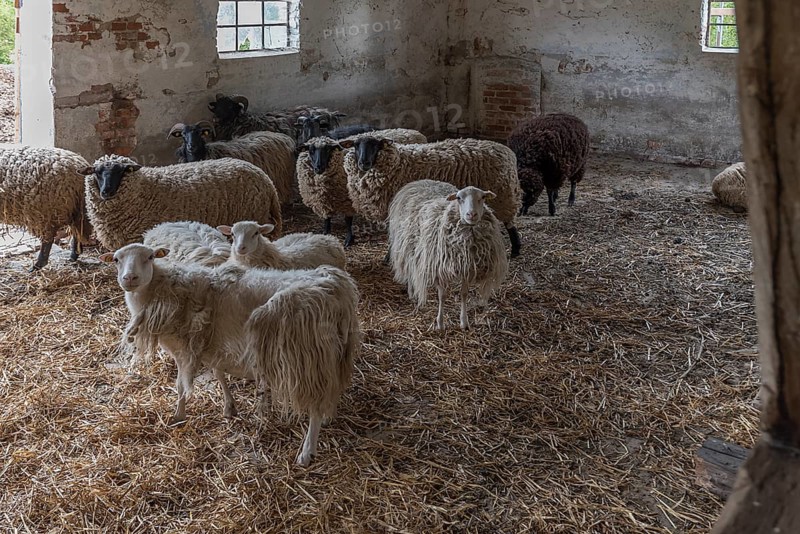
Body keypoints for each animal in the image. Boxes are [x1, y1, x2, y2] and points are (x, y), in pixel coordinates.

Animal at [101, 244, 360, 466]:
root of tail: (335, 287)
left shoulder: (184, 349)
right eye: (116, 259)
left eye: (150, 257)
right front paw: (229, 408)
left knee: (314, 405)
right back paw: (328, 416)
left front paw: (178, 415)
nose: (129, 279)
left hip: (307, 356)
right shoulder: (213, 341)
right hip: (334, 353)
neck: (162, 289)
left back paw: (307, 452)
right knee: (333, 385)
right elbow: (218, 373)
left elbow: (181, 385)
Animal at [297, 129, 428, 247]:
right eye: (311, 150)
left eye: (328, 149)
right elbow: (327, 218)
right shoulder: (323, 199)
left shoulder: (347, 199)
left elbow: (348, 220)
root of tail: (414, 132)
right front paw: (326, 234)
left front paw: (349, 239)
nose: (318, 167)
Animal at [343, 136, 523, 256]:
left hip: (503, 197)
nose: (363, 163)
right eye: (356, 145)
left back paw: (515, 249)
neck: (397, 163)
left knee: (510, 223)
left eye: (376, 145)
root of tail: (508, 153)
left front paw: (389, 256)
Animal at [388, 180, 509, 330]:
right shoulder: (440, 268)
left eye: (483, 197)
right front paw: (440, 323)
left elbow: (464, 294)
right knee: (410, 267)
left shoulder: (467, 267)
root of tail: (420, 181)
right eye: (458, 198)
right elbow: (442, 296)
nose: (471, 214)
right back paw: (412, 293)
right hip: (407, 243)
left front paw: (464, 322)